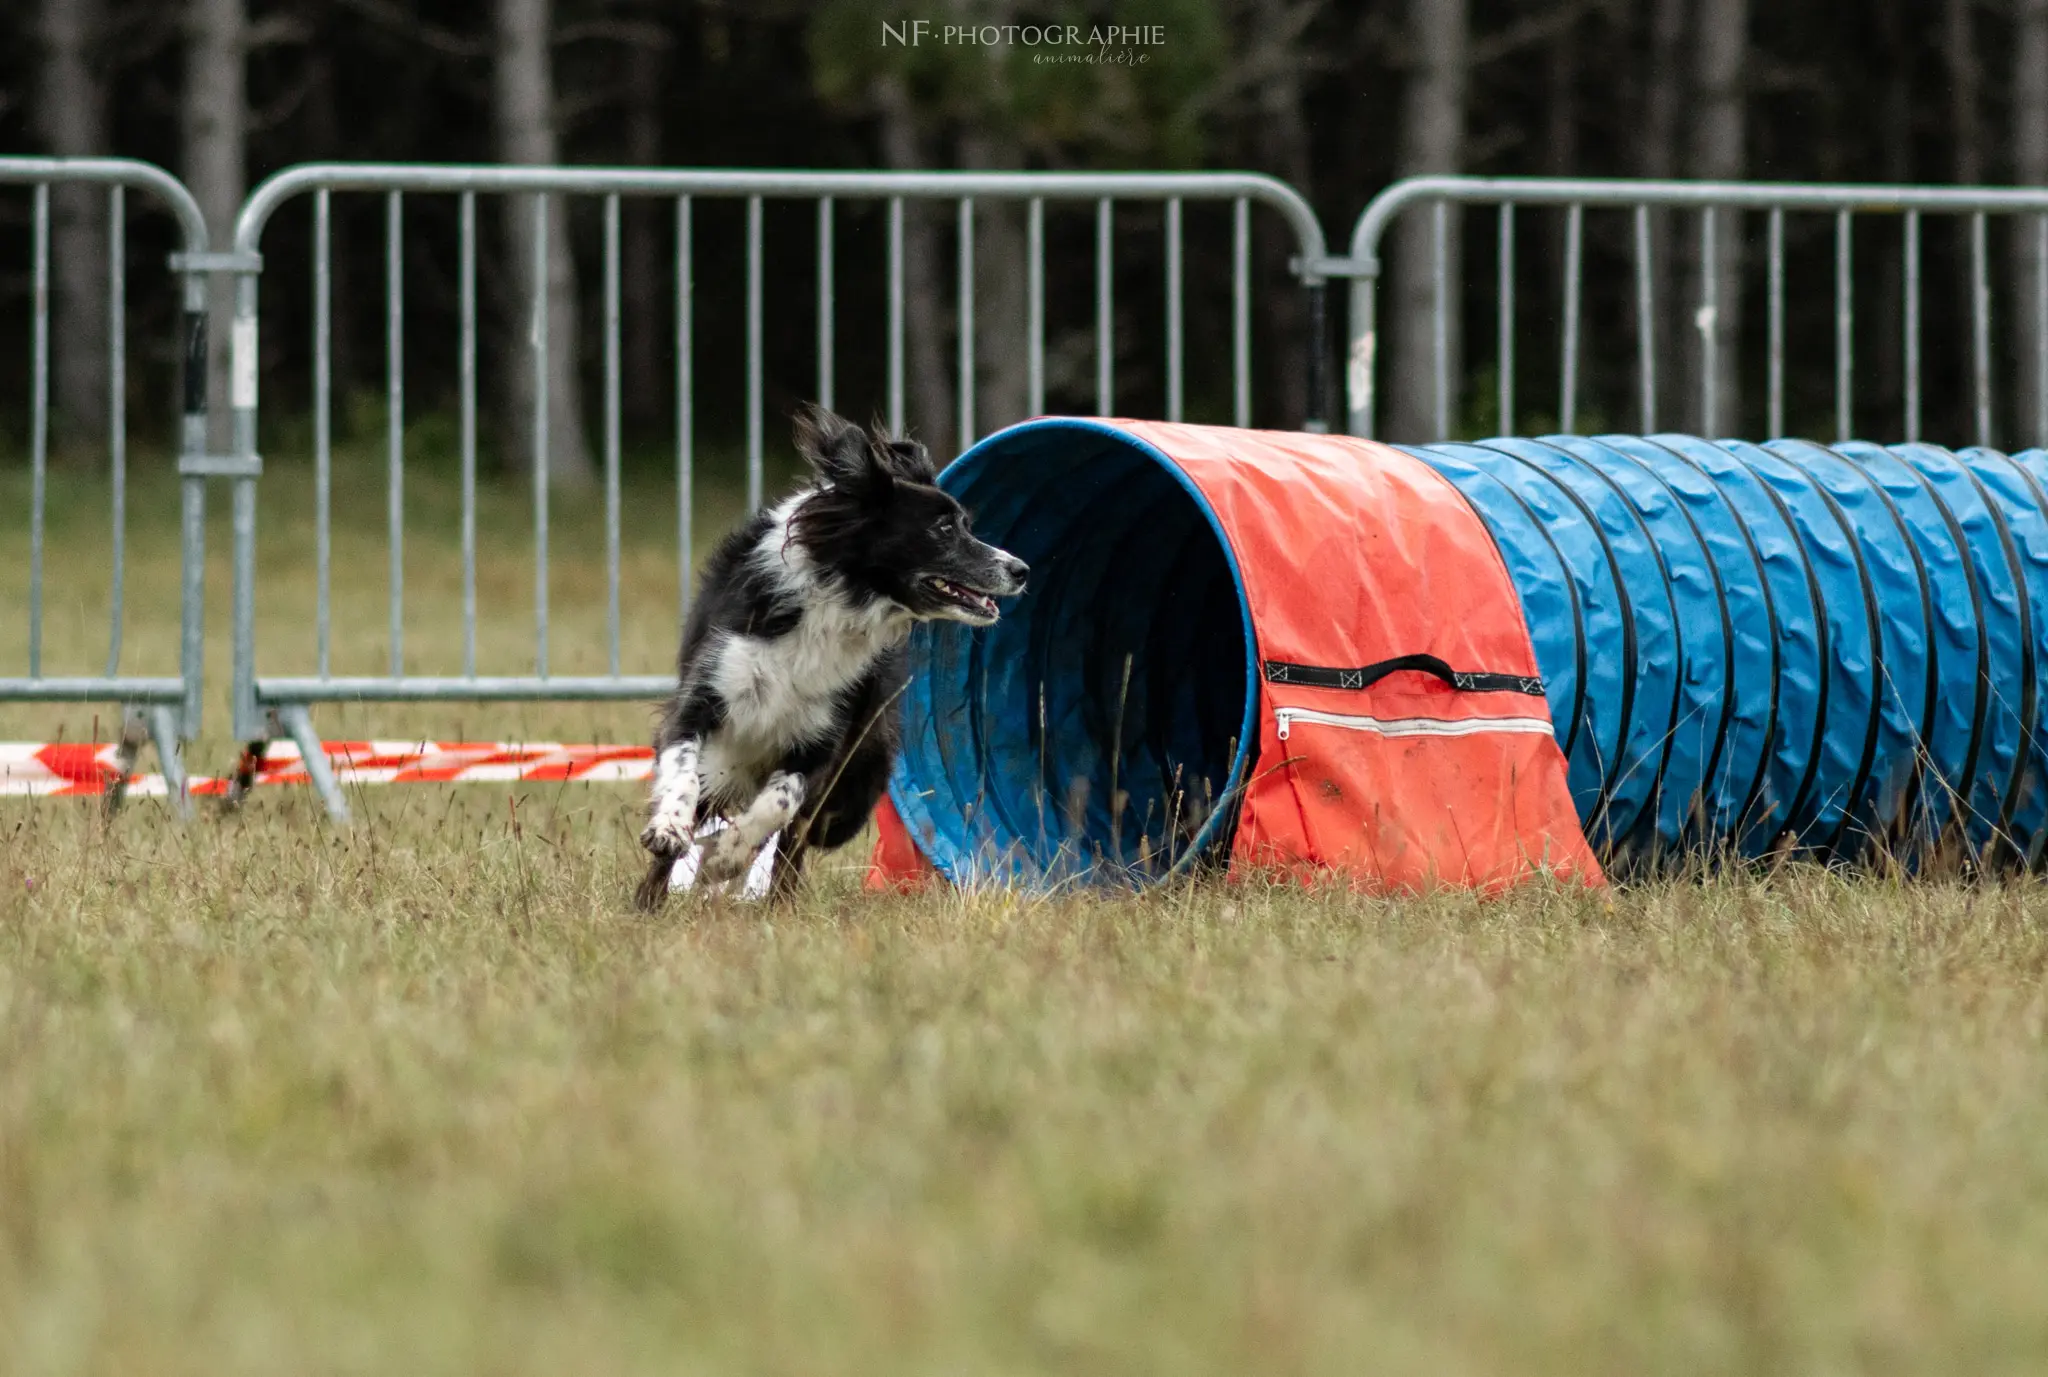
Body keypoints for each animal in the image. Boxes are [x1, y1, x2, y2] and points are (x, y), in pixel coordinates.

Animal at [630, 403, 1024, 909]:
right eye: (943, 528)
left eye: (965, 524)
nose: (1021, 569)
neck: (840, 600)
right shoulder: (704, 696)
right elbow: (682, 770)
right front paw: (668, 830)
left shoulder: (824, 738)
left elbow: (781, 802)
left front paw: (728, 855)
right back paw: (652, 898)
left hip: (862, 767)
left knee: (795, 840)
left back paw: (775, 900)